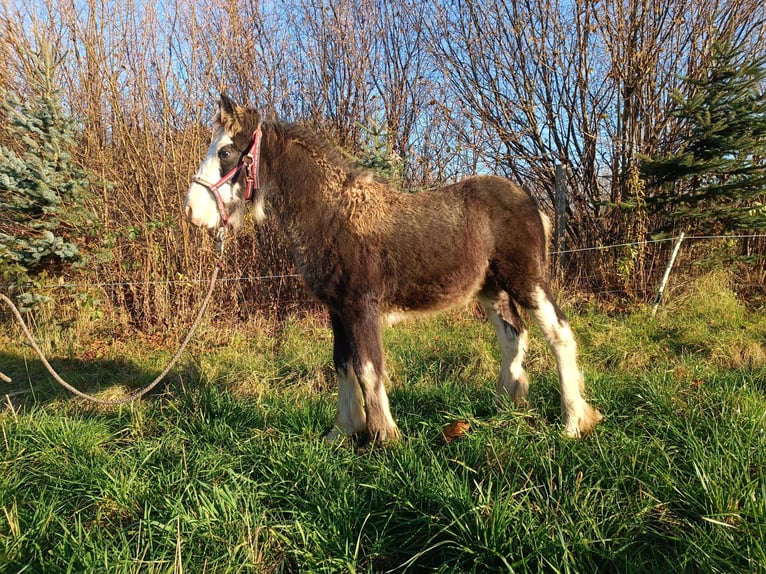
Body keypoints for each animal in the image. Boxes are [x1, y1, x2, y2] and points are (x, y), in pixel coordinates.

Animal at [183, 97, 604, 444]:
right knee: (513, 337)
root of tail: (532, 201)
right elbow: (343, 366)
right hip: (492, 289)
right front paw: (344, 432)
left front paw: (383, 436)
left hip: (528, 281)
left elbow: (368, 368)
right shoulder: (338, 310)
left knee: (560, 334)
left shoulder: (360, 307)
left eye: (226, 151)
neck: (331, 214)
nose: (192, 212)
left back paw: (573, 422)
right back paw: (505, 408)